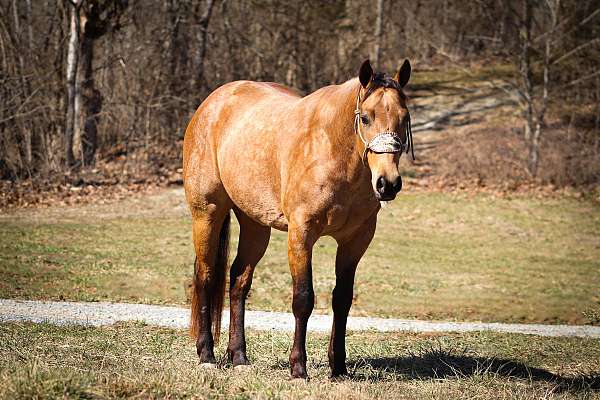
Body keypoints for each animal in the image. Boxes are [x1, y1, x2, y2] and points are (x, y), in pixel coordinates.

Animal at [183, 59, 414, 378]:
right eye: (366, 118)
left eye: (404, 118)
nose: (387, 184)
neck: (332, 150)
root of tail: (211, 103)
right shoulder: (301, 234)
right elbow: (303, 299)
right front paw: (298, 368)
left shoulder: (356, 240)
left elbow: (342, 299)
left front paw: (338, 367)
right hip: (207, 213)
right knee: (205, 277)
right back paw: (206, 354)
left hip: (256, 225)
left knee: (239, 280)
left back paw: (239, 356)